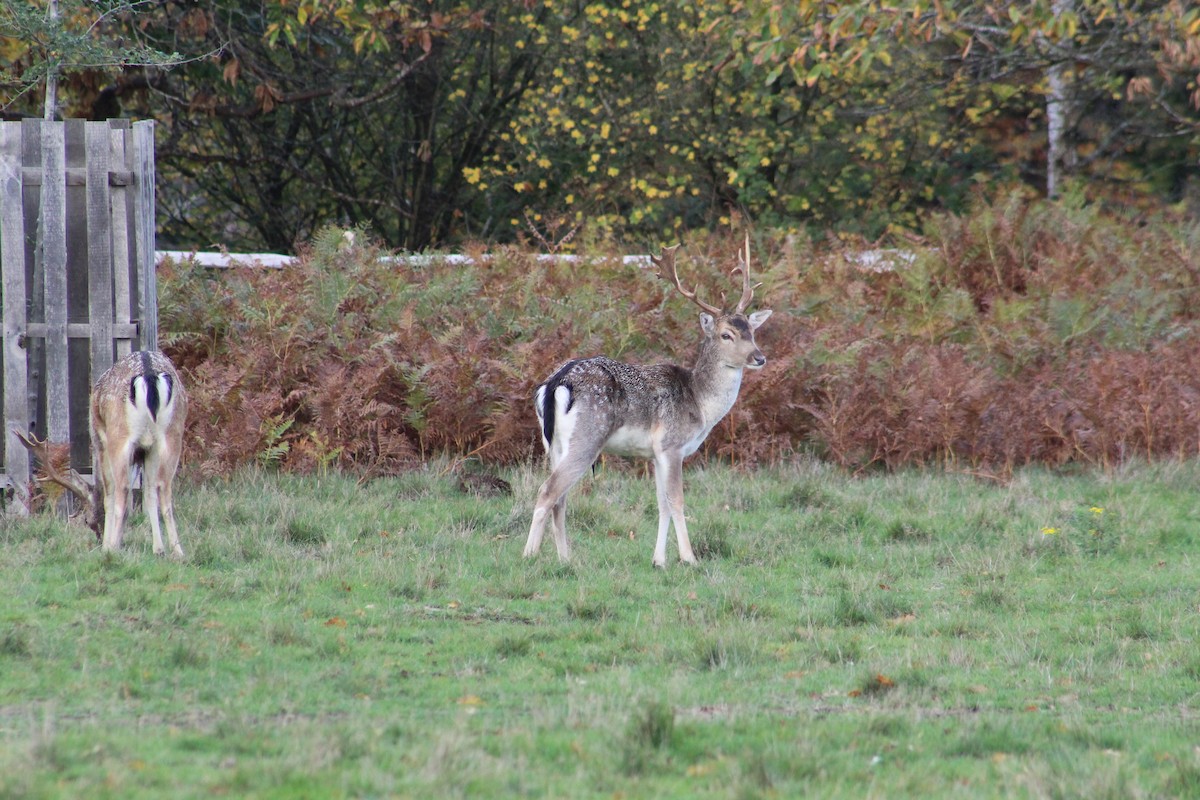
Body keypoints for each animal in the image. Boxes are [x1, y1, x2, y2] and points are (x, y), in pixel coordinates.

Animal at [14, 350, 188, 556]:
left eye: (87, 521)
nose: (98, 538)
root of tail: (149, 374)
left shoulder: (99, 441)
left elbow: (109, 494)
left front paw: (110, 545)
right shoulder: (147, 451)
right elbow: (149, 491)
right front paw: (158, 549)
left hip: (118, 436)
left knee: (121, 488)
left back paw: (113, 550)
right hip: (172, 434)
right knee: (164, 488)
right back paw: (178, 552)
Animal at [523, 238, 772, 568]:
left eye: (751, 331)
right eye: (726, 335)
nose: (759, 357)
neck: (700, 404)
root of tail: (556, 383)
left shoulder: (654, 454)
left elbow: (661, 503)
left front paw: (659, 560)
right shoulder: (672, 445)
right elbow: (677, 500)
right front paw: (689, 558)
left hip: (554, 443)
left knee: (560, 498)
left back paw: (566, 559)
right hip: (588, 436)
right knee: (548, 491)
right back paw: (529, 555)